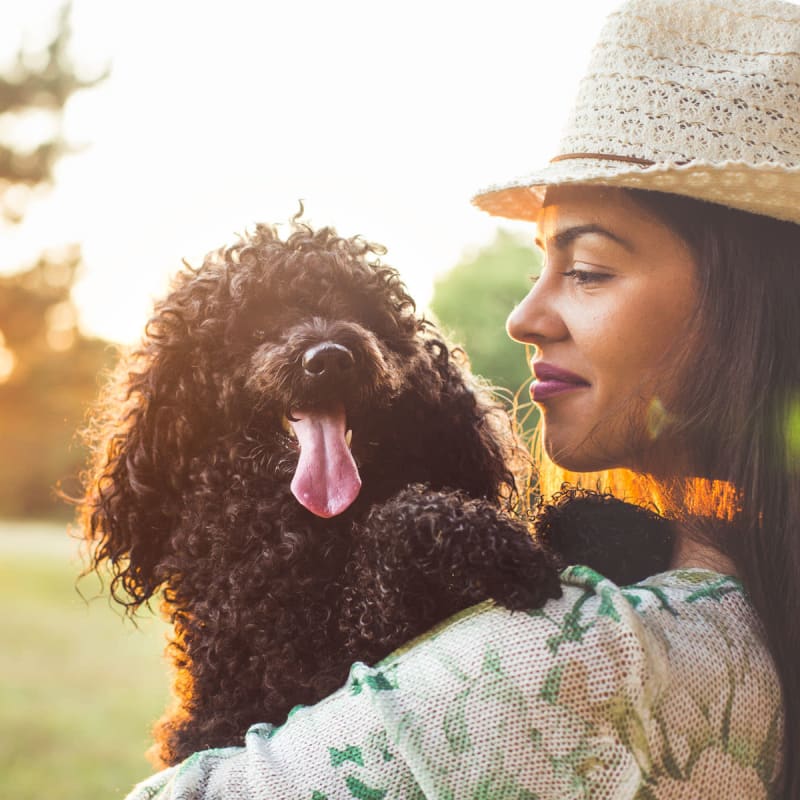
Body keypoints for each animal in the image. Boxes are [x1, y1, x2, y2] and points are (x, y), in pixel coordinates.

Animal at [79, 216, 668, 764]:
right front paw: (502, 550)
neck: (300, 522)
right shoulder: (299, 668)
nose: (330, 357)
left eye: (359, 309)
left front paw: (617, 524)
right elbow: (402, 524)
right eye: (255, 321)